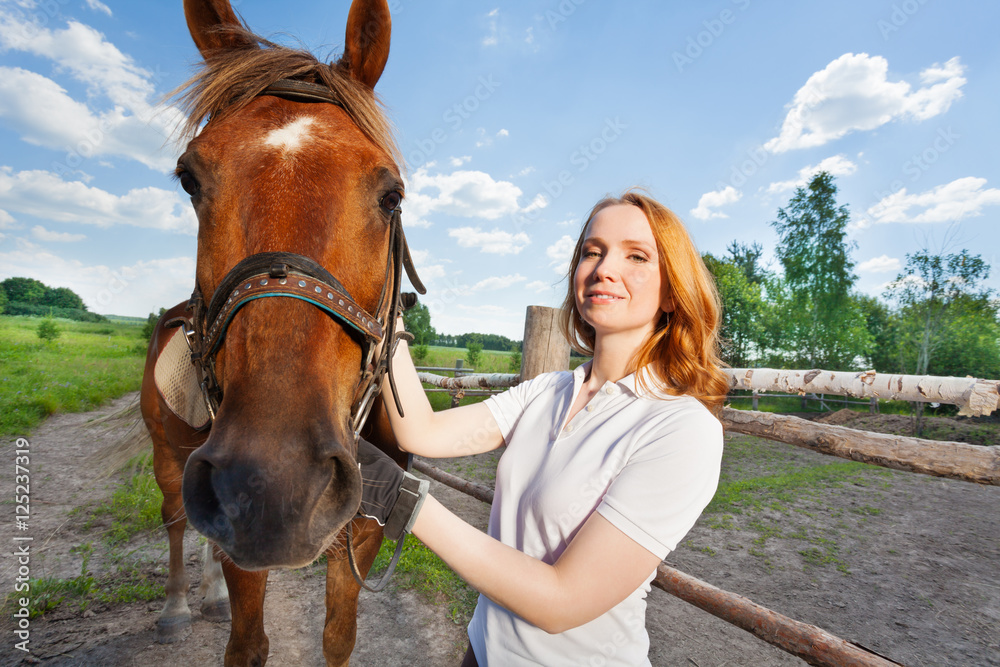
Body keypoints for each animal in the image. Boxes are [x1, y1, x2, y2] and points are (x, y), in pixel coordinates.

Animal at [138, 2, 414, 664]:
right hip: (168, 457)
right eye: (190, 180)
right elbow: (248, 643)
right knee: (176, 519)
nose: (273, 489)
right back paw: (179, 606)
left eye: (391, 195)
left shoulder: (362, 532)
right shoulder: (241, 541)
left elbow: (338, 637)